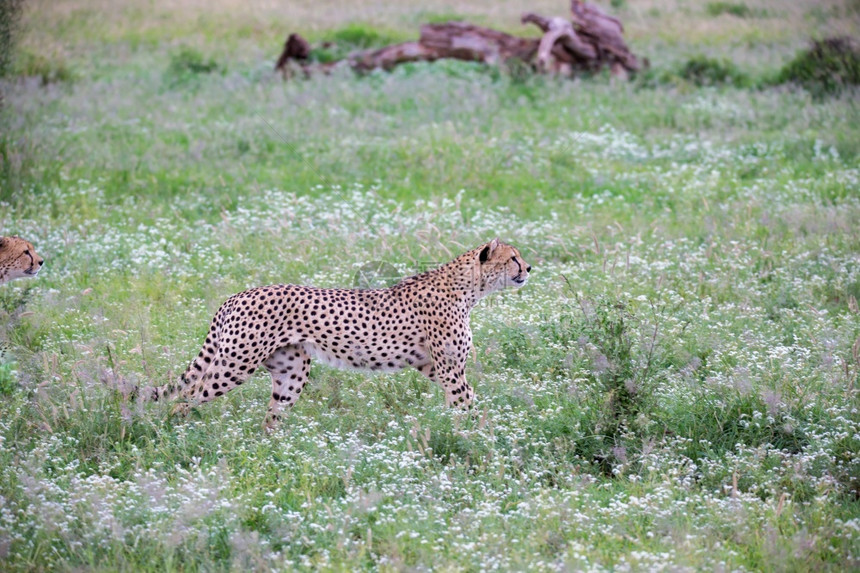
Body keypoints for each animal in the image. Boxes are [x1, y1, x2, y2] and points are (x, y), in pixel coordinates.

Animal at [142, 238, 532, 428]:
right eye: (513, 258)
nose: (529, 268)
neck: (470, 287)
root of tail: (236, 295)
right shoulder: (450, 369)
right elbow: (464, 404)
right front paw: (477, 439)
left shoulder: (433, 367)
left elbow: (468, 400)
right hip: (234, 364)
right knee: (185, 399)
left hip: (291, 371)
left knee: (271, 418)